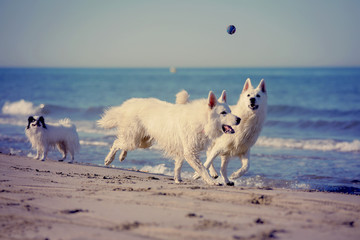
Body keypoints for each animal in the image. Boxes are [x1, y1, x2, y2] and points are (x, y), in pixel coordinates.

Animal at [97, 91, 240, 185]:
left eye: (230, 111)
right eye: (223, 113)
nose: (239, 119)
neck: (202, 120)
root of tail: (130, 104)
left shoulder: (183, 151)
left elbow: (178, 165)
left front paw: (177, 179)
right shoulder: (190, 153)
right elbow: (203, 169)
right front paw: (211, 181)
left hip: (143, 142)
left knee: (123, 144)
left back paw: (122, 156)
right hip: (133, 140)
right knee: (116, 142)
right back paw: (109, 159)